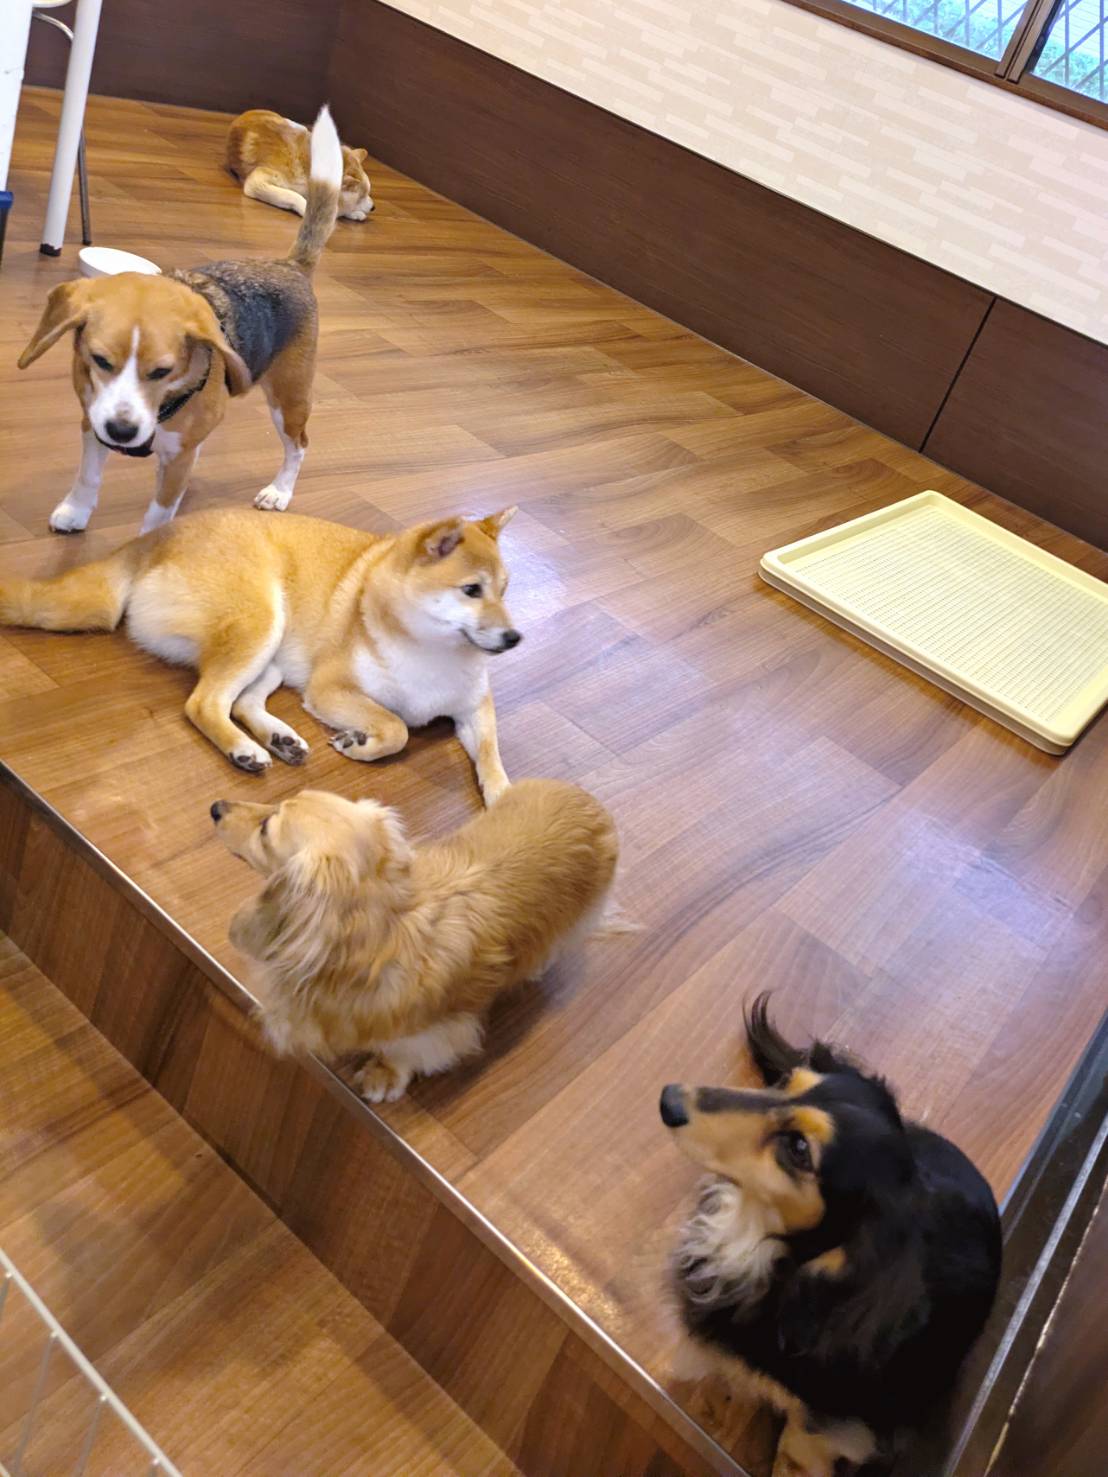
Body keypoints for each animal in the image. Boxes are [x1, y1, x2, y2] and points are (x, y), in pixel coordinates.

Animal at [0, 505, 521, 799]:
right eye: (471, 590)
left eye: (505, 590)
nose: (515, 638)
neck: (433, 650)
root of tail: (154, 538)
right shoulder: (330, 689)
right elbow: (397, 728)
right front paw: (361, 742)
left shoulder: (474, 707)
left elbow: (492, 754)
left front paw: (503, 796)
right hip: (260, 624)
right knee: (204, 704)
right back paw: (243, 749)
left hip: (271, 655)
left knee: (242, 702)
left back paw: (278, 738)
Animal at [17, 107, 344, 535]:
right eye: (100, 361)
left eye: (162, 371)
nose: (122, 432)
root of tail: (291, 266)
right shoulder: (93, 422)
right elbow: (88, 476)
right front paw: (76, 510)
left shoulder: (172, 462)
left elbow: (158, 513)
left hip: (288, 398)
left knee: (298, 446)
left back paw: (280, 491)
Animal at [211, 781, 618, 1100]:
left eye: (266, 828)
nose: (215, 807)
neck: (382, 933)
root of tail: (590, 802)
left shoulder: (442, 1031)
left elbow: (407, 1054)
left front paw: (383, 1075)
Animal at [226, 108, 373, 222]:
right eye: (361, 197)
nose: (374, 207)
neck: (308, 168)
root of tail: (247, 112)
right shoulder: (256, 181)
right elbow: (292, 195)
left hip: (300, 127)